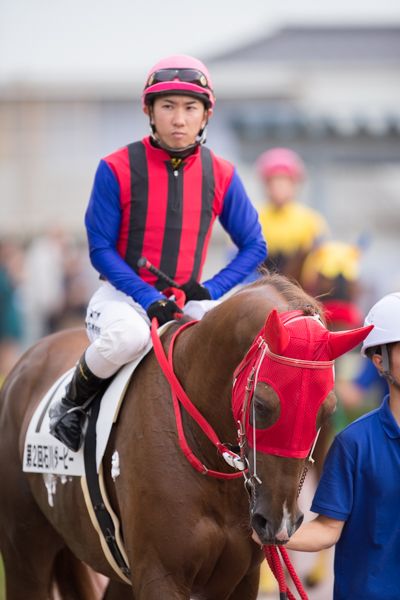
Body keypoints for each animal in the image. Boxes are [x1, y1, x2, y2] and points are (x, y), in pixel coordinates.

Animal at [0, 273, 370, 600]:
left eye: (328, 408)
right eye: (262, 403)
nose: (279, 522)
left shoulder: (239, 579)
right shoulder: (160, 574)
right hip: (25, 551)